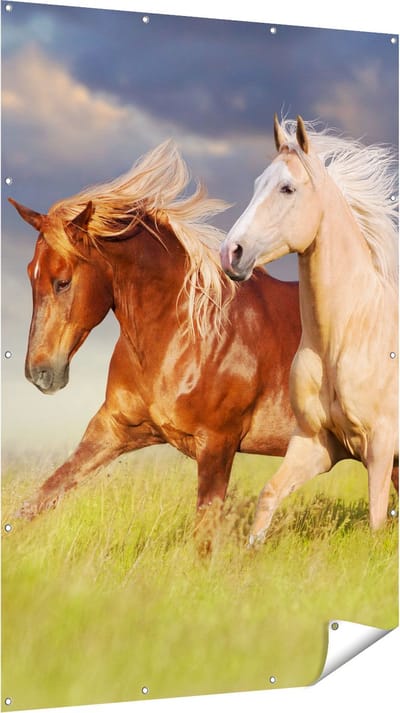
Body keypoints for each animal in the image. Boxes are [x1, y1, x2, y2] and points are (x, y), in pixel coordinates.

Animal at [9, 140, 301, 528]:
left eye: (63, 281)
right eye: (31, 273)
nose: (39, 373)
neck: (183, 337)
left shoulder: (217, 445)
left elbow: (204, 531)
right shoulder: (112, 429)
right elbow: (37, 500)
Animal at [220, 115, 398, 543]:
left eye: (287, 188)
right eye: (257, 183)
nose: (230, 253)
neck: (346, 337)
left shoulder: (381, 446)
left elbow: (376, 520)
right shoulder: (316, 443)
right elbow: (269, 495)